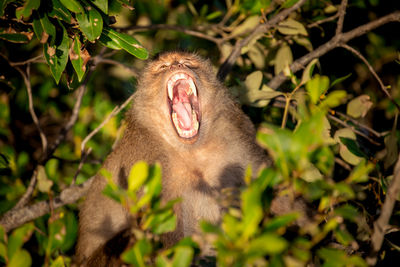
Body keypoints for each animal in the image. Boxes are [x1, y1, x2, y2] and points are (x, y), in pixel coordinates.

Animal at [76, 51, 268, 266]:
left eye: (188, 62)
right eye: (162, 67)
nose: (176, 65)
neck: (190, 151)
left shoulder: (240, 132)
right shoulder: (143, 159)